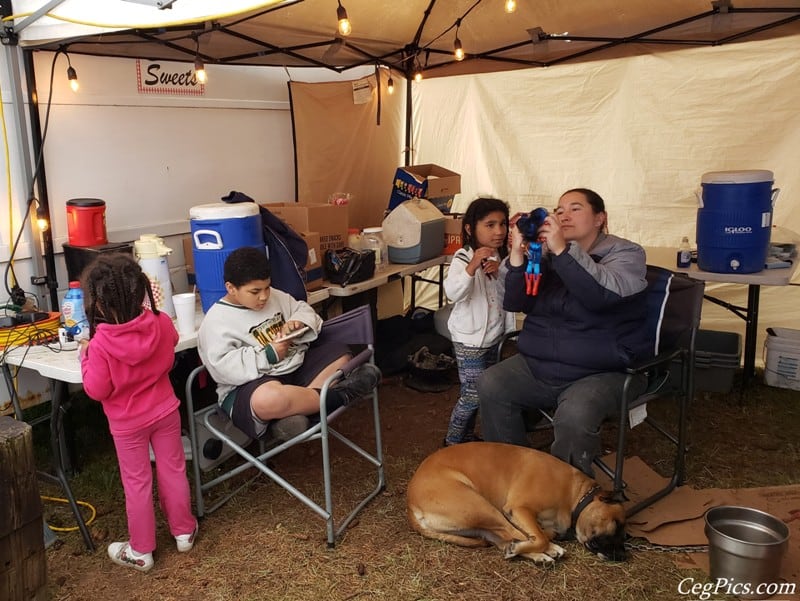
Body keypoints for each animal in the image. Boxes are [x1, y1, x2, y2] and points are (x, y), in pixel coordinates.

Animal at [410, 440, 628, 564]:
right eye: (616, 524)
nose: (623, 556)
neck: (575, 495)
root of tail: (411, 504)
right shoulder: (520, 509)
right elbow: (538, 537)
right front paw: (543, 543)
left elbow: (536, 534)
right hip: (482, 506)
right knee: (513, 533)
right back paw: (546, 550)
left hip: (480, 523)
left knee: (505, 538)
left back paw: (537, 554)